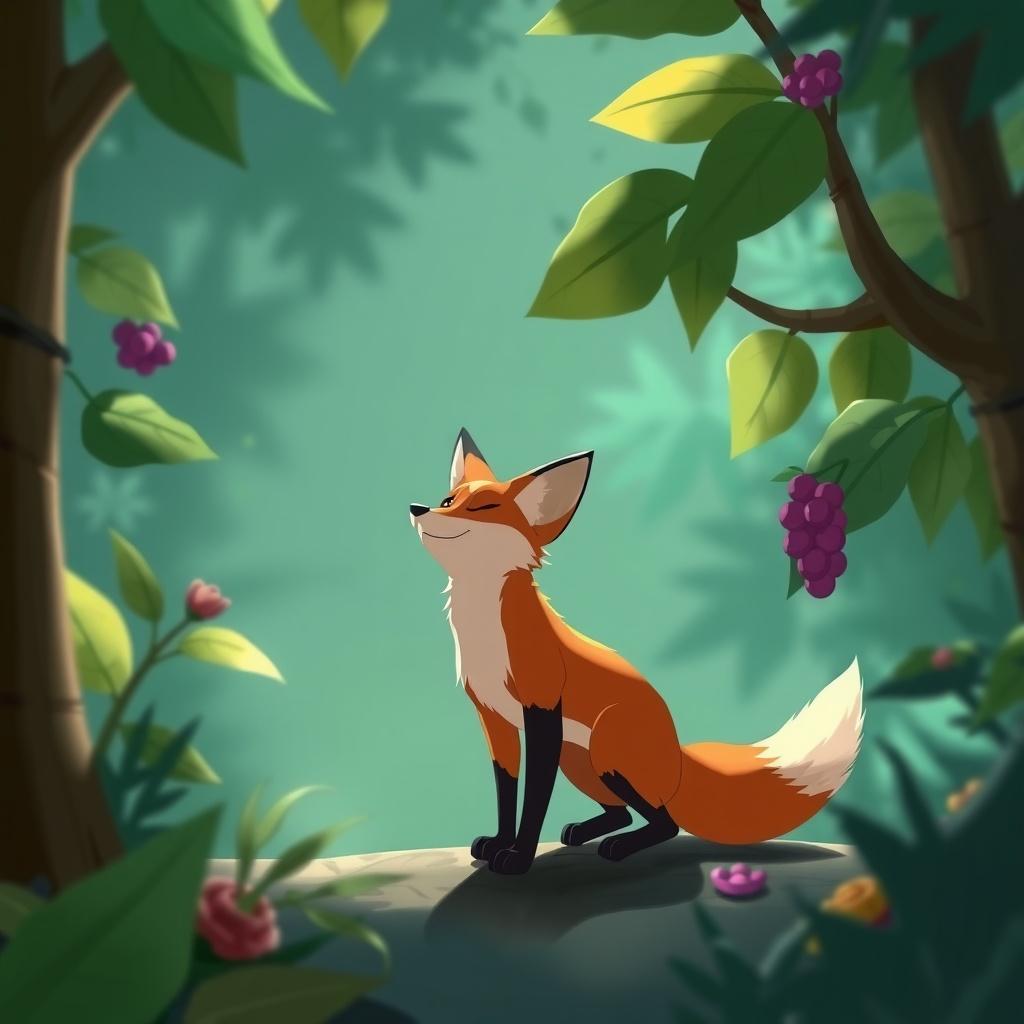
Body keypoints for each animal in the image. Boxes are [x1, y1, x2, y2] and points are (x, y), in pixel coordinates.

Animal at [410, 429, 864, 875]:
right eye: (448, 501)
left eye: (484, 507)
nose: (418, 507)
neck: (484, 632)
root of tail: (678, 751)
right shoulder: (494, 720)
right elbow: (507, 793)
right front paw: (498, 842)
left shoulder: (542, 711)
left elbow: (533, 801)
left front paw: (519, 857)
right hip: (578, 762)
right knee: (625, 813)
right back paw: (587, 831)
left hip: (605, 754)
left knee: (666, 822)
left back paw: (620, 846)